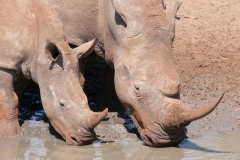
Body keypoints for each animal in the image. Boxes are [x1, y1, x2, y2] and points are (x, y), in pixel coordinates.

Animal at [0, 0, 107, 145]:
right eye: (61, 104)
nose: (85, 140)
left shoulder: (28, 67)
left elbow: (14, 97)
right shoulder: (5, 64)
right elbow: (9, 100)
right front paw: (12, 136)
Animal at [47, 0, 224, 147]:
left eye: (179, 84)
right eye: (137, 89)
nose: (169, 141)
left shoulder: (118, 45)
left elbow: (112, 72)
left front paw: (110, 108)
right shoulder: (72, 35)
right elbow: (74, 74)